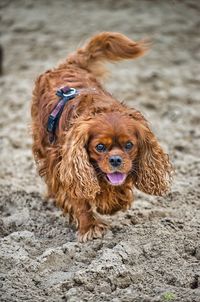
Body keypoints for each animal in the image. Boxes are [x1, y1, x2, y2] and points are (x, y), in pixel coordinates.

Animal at [31, 31, 172, 242]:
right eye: (99, 147)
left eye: (129, 145)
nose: (115, 160)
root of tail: (67, 65)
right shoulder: (64, 164)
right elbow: (78, 199)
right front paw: (90, 227)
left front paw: (112, 204)